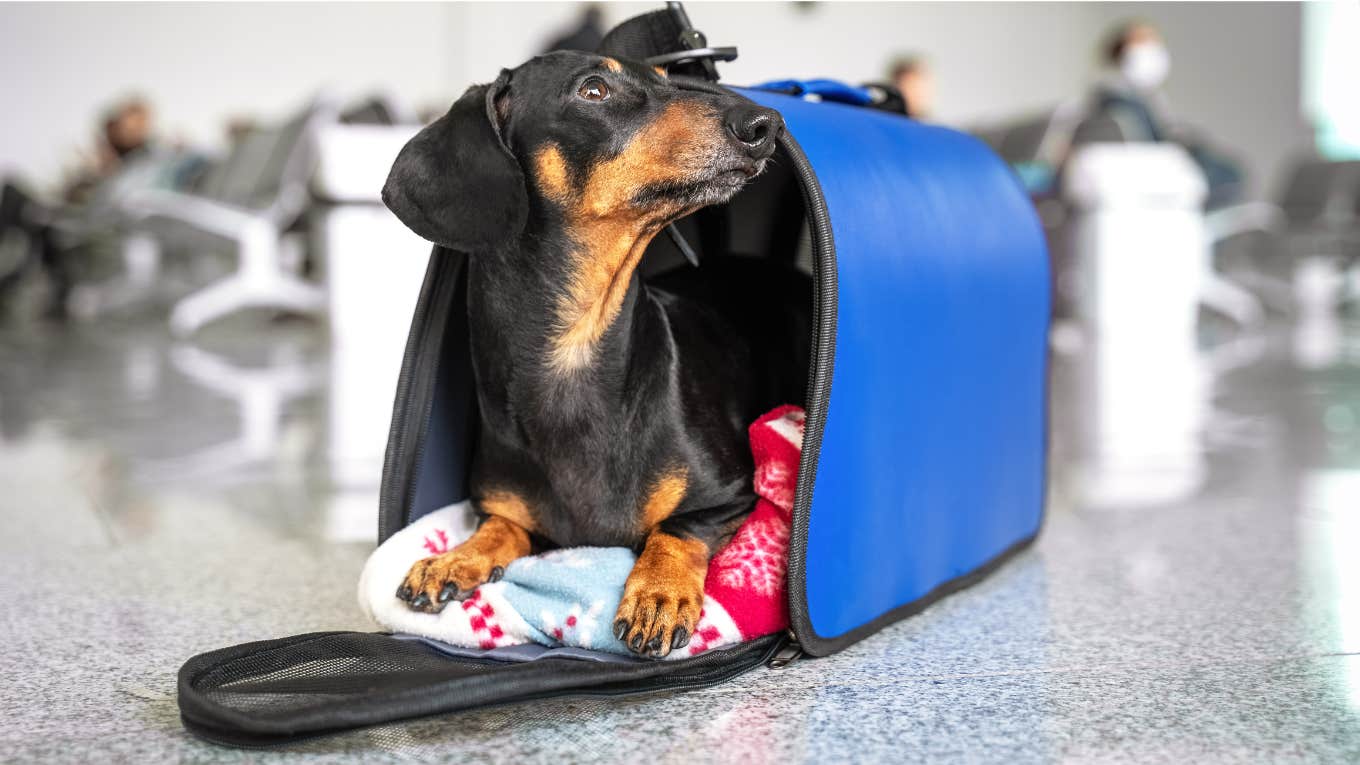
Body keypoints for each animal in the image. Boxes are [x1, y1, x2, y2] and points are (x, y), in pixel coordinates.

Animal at [383, 50, 805, 656]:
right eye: (594, 89)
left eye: (666, 80)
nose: (766, 124)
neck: (576, 352)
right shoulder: (502, 508)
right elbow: (502, 525)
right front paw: (453, 559)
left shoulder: (730, 495)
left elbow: (675, 529)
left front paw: (658, 593)